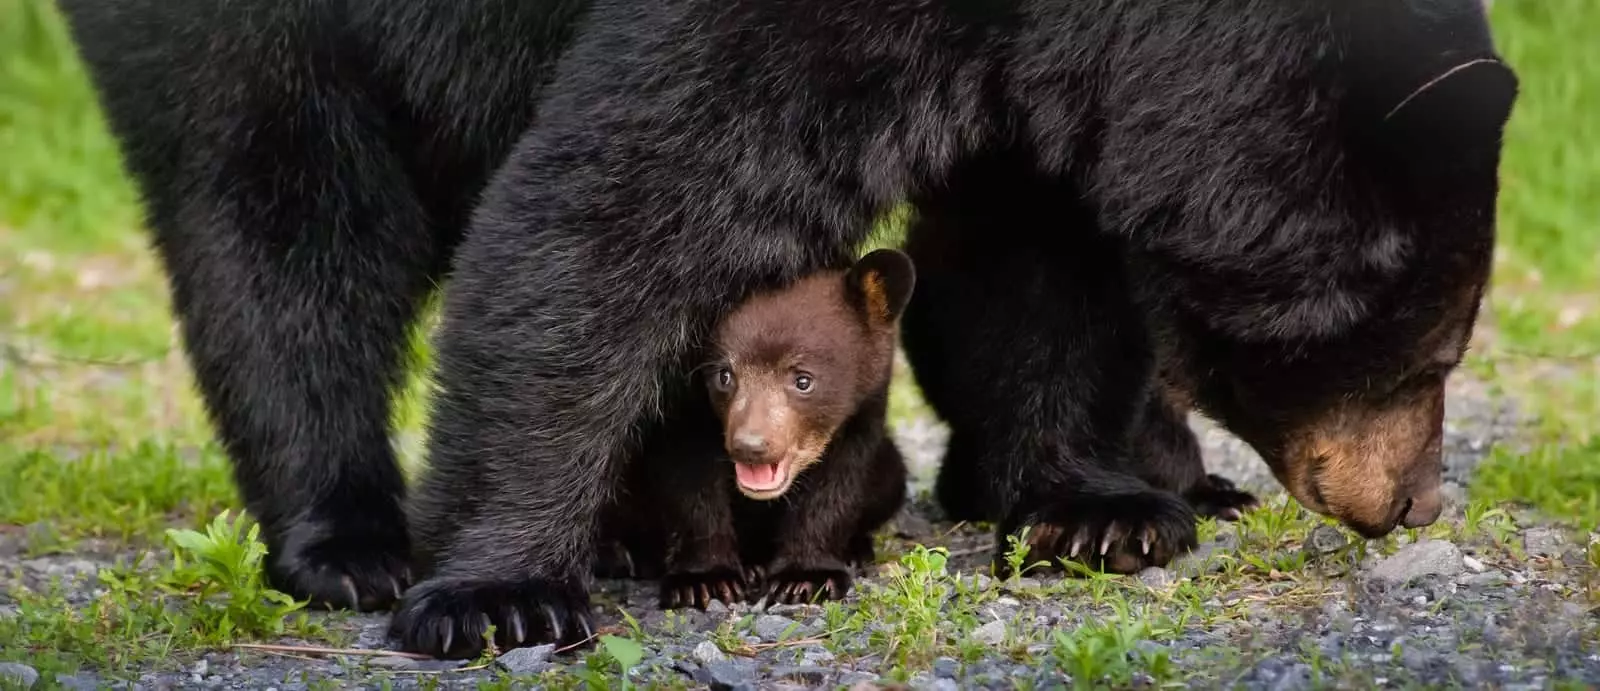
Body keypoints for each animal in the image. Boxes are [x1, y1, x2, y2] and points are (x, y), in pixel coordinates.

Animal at [582, 247, 915, 620]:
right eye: (724, 375)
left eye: (803, 380)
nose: (750, 446)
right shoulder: (681, 405)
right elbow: (689, 480)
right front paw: (703, 581)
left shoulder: (864, 413)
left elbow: (838, 483)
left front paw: (806, 577)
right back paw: (620, 554)